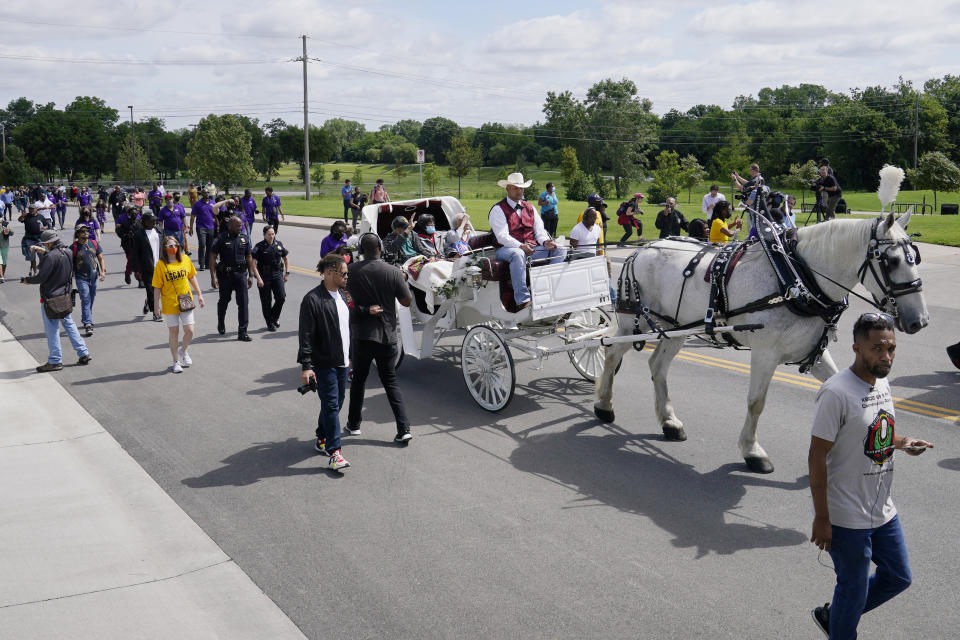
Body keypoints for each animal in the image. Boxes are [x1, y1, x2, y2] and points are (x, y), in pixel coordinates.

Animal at [592, 212, 928, 472]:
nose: (920, 321)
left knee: (658, 366)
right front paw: (752, 451)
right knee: (611, 352)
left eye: (916, 258)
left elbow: (838, 386)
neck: (796, 279)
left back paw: (669, 421)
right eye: (891, 260)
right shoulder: (765, 353)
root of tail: (642, 250)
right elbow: (756, 403)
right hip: (631, 323)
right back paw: (603, 405)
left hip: (677, 329)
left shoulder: (815, 352)